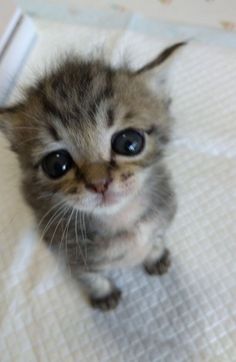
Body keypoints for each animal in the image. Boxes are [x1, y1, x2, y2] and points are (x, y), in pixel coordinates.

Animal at [0, 41, 184, 308]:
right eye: (56, 164)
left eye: (129, 142)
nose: (99, 183)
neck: (120, 220)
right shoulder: (71, 255)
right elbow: (89, 276)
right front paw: (103, 293)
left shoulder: (162, 214)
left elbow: (157, 237)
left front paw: (155, 255)